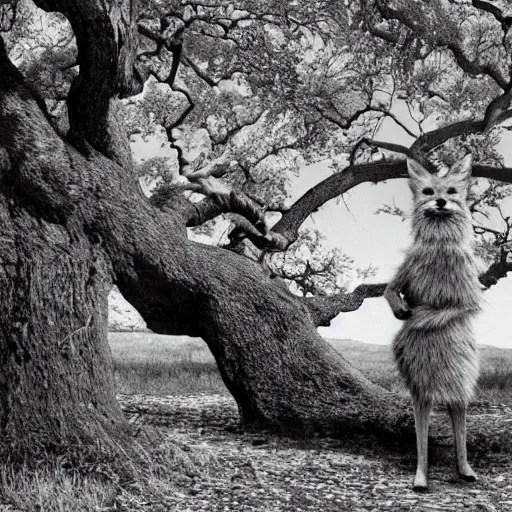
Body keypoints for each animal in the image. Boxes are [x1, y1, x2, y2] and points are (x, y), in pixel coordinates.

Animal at [386, 154, 482, 490]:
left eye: (452, 191)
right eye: (427, 191)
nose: (440, 201)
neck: (440, 244)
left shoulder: (469, 284)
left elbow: (464, 305)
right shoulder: (407, 268)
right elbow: (390, 291)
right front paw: (404, 310)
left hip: (460, 373)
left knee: (458, 410)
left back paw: (465, 469)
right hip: (420, 380)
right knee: (422, 421)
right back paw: (421, 476)